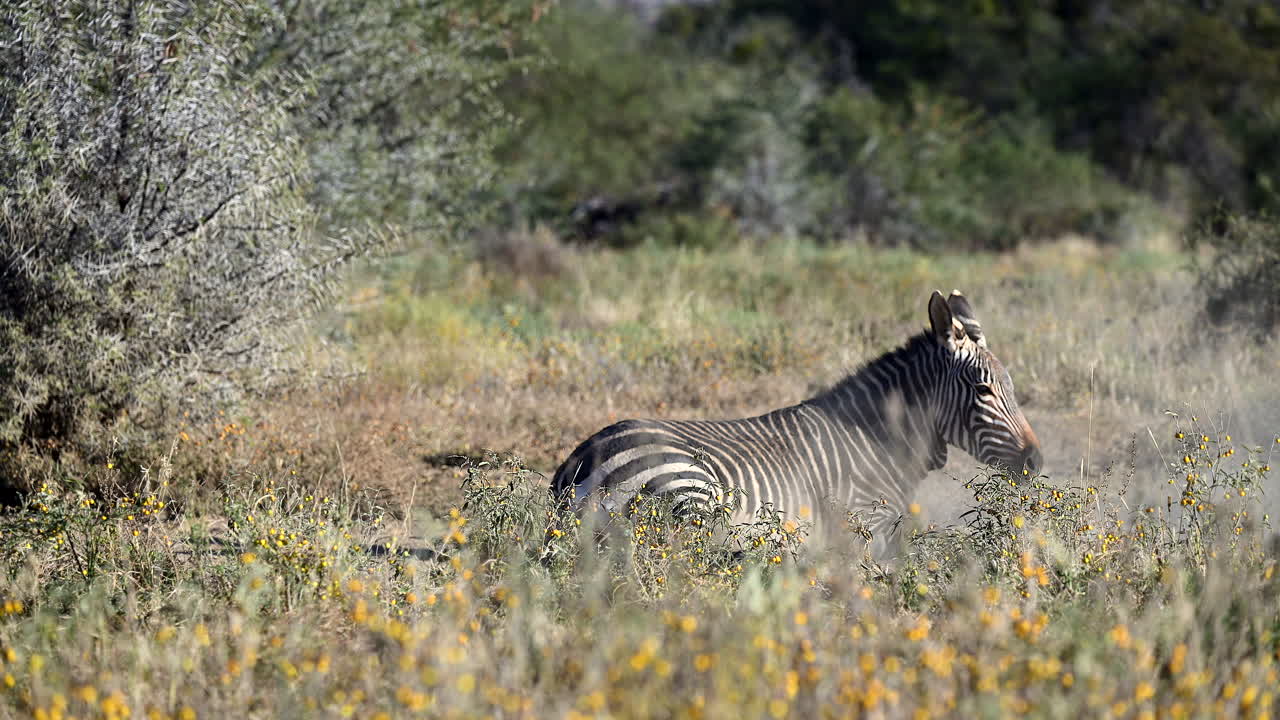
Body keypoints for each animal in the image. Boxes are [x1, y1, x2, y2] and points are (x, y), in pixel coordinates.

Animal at [550, 290, 1041, 551]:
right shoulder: (863, 527)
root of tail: (581, 460)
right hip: (690, 495)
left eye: (1012, 386)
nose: (1035, 462)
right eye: (983, 391)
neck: (878, 441)